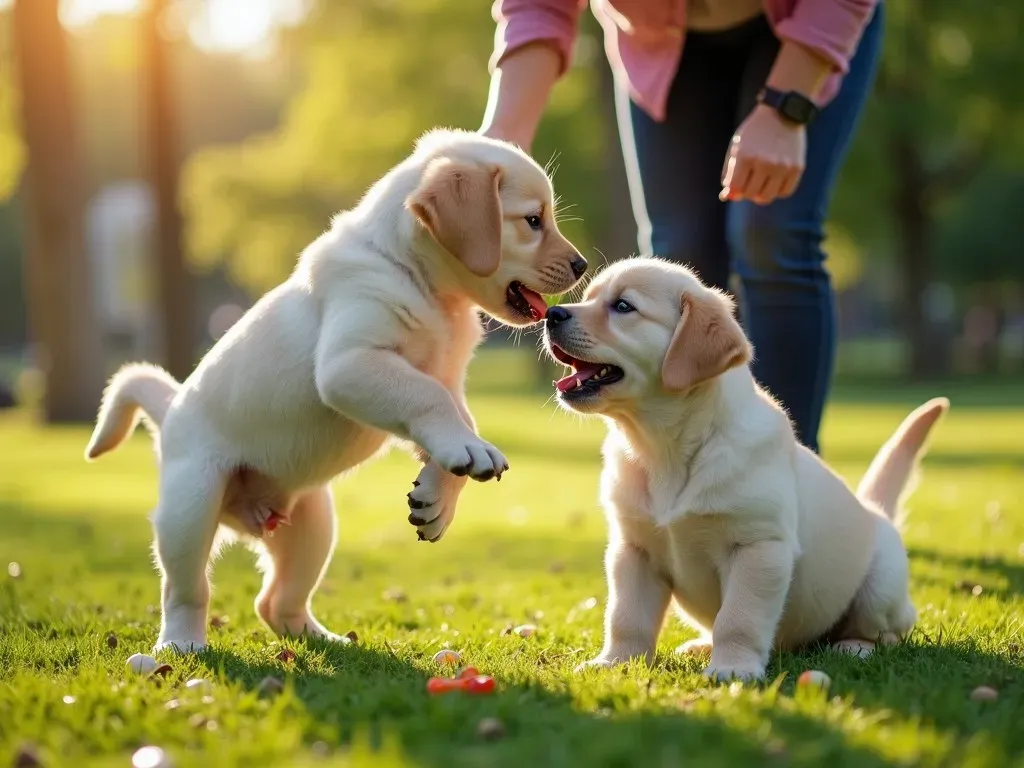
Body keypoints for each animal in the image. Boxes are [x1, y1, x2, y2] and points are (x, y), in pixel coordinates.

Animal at [84, 129, 589, 651]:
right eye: (533, 220)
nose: (582, 265)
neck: (415, 275)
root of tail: (171, 411)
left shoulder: (445, 377)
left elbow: (456, 416)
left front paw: (437, 499)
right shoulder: (350, 364)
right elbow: (428, 398)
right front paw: (465, 457)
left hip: (313, 525)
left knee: (274, 602)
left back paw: (325, 639)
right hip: (190, 509)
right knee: (185, 590)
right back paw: (181, 643)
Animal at [544, 260, 950, 684]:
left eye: (623, 306)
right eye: (588, 297)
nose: (551, 314)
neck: (662, 448)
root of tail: (875, 512)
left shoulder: (758, 547)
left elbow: (738, 618)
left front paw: (733, 668)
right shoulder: (633, 549)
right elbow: (626, 616)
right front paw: (615, 662)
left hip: (880, 589)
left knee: (886, 632)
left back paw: (854, 646)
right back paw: (700, 645)